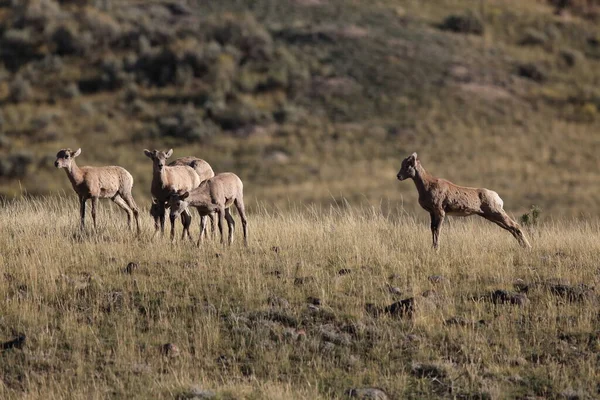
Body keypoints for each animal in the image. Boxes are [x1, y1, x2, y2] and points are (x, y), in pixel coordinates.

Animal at [398, 152, 528, 248]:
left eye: (408, 165)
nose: (398, 176)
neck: (427, 185)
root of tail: (497, 197)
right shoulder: (432, 213)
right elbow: (432, 229)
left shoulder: (440, 212)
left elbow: (437, 230)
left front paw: (436, 248)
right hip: (491, 217)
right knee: (511, 229)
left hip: (497, 213)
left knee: (515, 226)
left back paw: (528, 247)